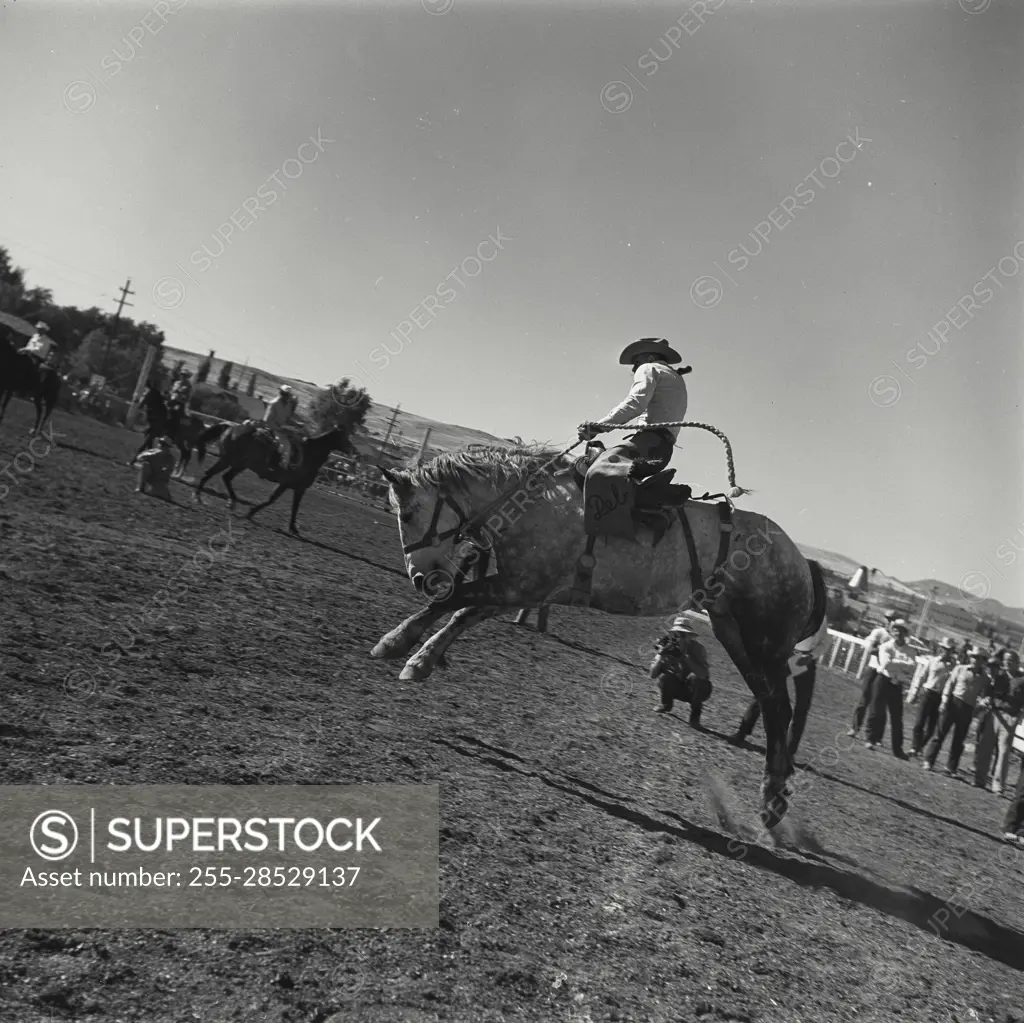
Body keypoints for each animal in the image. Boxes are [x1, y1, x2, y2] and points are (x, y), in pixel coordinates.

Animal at [194, 419, 356, 536]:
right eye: (345, 437)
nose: (353, 451)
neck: (309, 455)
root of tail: (232, 426)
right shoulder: (288, 484)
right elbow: (272, 500)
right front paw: (250, 513)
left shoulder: (297, 488)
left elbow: (292, 507)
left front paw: (292, 528)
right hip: (228, 460)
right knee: (211, 474)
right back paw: (199, 498)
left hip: (239, 464)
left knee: (224, 477)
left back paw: (229, 502)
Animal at [372, 440, 827, 831]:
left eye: (408, 513)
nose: (419, 578)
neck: (536, 504)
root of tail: (801, 561)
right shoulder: (522, 589)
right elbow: (461, 612)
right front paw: (419, 658)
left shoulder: (519, 586)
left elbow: (452, 600)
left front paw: (396, 643)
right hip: (732, 632)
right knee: (770, 704)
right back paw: (773, 799)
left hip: (764, 642)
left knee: (779, 710)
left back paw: (771, 802)